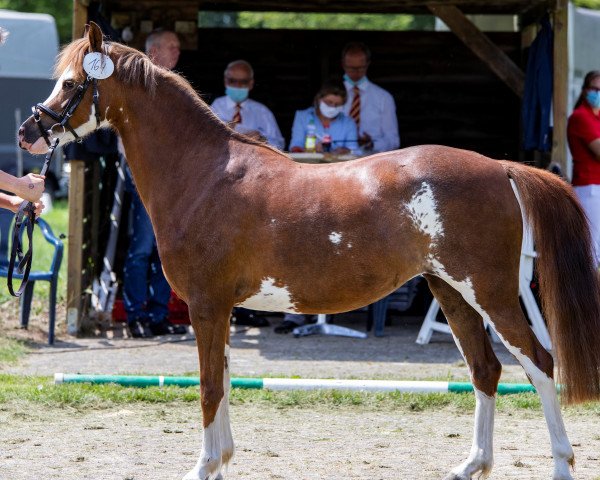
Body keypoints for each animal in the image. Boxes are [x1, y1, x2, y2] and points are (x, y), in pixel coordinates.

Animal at [18, 23, 600, 480]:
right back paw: (471, 466)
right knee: (485, 371)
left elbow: (208, 388)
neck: (206, 174)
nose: (28, 131)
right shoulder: (222, 310)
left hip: (493, 293)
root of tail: (501, 167)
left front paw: (203, 467)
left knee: (540, 364)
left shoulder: (206, 306)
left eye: (71, 82)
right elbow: (222, 382)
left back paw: (560, 465)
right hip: (451, 292)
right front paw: (221, 461)